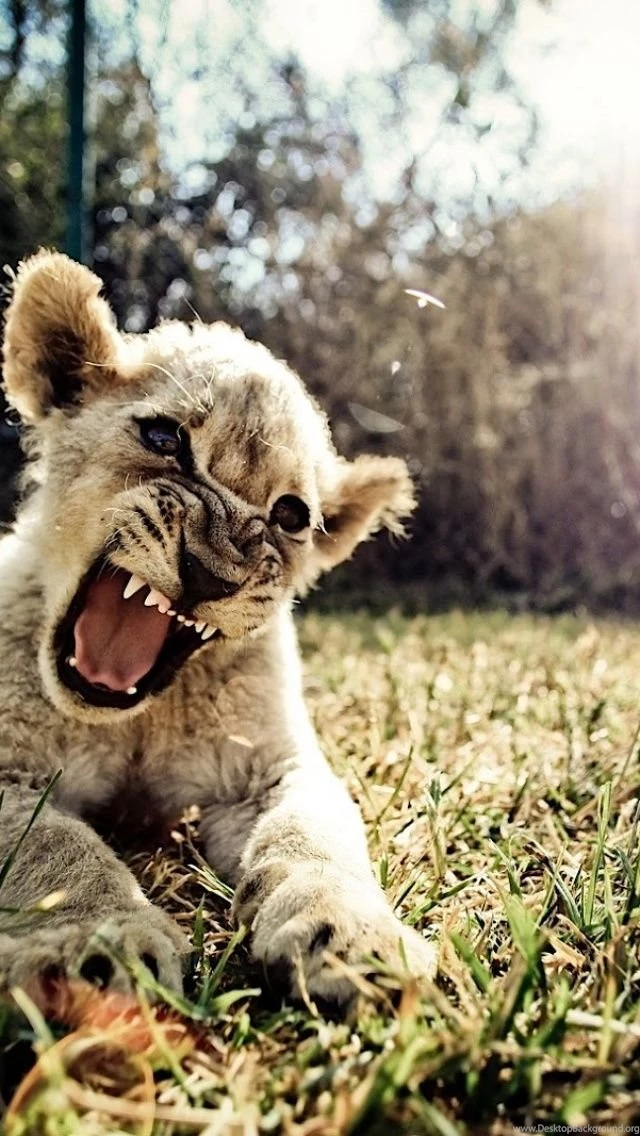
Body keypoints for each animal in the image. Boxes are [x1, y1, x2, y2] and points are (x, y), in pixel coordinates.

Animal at [0, 250, 436, 1009]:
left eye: (291, 515)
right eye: (163, 437)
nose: (209, 572)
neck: (136, 717)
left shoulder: (272, 769)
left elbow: (314, 833)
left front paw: (352, 938)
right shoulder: (7, 775)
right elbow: (53, 845)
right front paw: (95, 945)